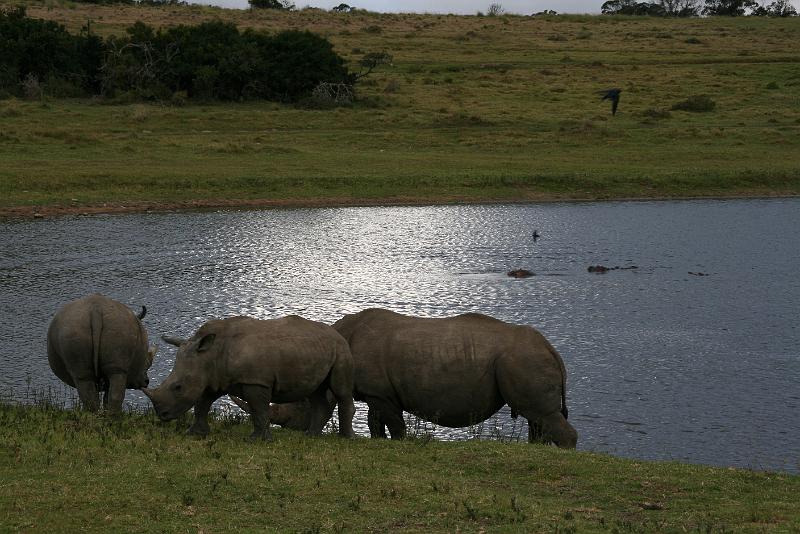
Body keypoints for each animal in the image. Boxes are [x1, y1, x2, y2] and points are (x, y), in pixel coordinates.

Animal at [145, 316, 356, 442]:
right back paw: (311, 436)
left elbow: (258, 409)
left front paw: (257, 440)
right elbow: (202, 404)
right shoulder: (213, 377)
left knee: (340, 390)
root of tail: (335, 332)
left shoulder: (255, 380)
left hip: (341, 349)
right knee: (316, 392)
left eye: (178, 387)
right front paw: (194, 433)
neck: (210, 355)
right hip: (316, 350)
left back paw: (347, 439)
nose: (162, 415)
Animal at [334, 308, 580, 450]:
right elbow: (375, 423)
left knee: (541, 414)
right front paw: (379, 442)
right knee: (537, 418)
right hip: (526, 359)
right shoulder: (377, 393)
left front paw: (398, 443)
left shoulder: (380, 395)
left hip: (524, 359)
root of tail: (551, 349)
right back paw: (536, 451)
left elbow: (395, 425)